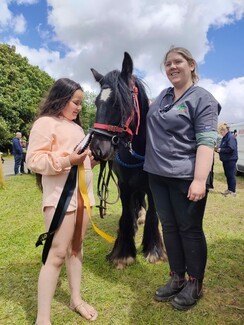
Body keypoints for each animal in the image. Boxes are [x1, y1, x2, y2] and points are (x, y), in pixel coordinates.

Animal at [90, 51, 168, 268]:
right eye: (97, 103)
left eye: (118, 102)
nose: (97, 148)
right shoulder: (124, 185)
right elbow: (126, 213)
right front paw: (123, 253)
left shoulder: (153, 186)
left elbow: (153, 215)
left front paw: (154, 250)